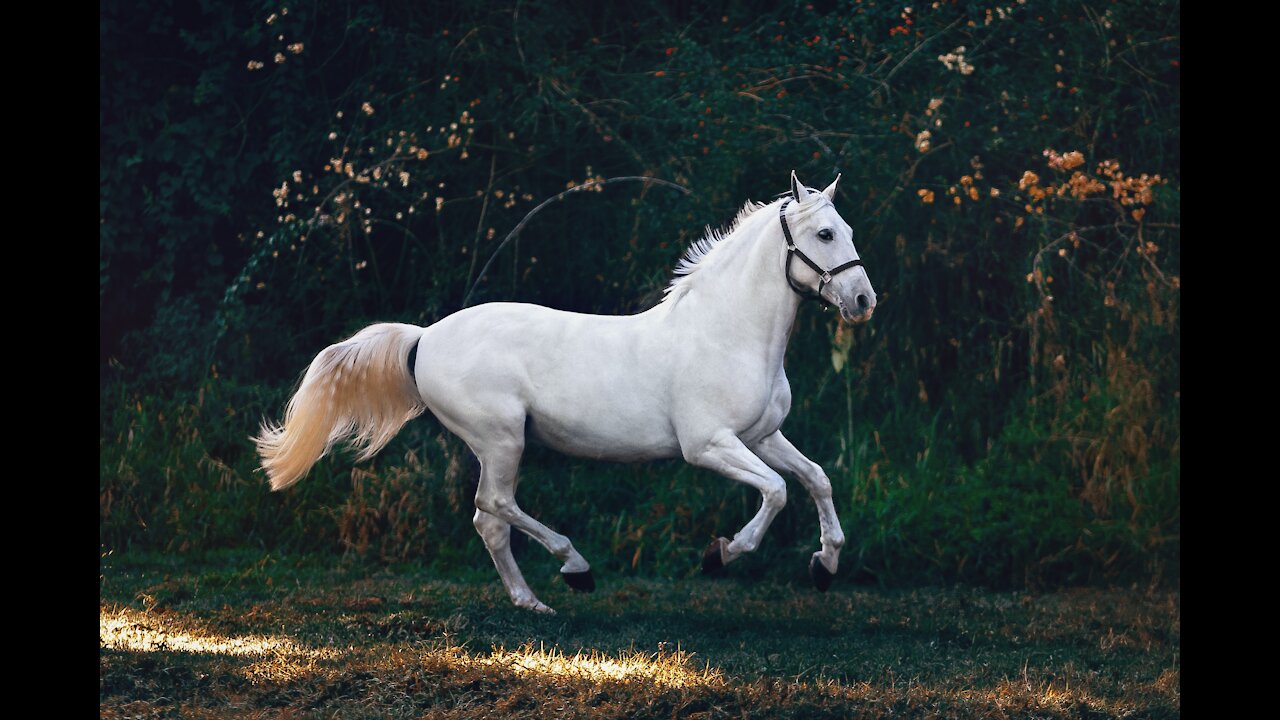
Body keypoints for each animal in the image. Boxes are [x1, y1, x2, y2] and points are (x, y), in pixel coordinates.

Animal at [259, 169, 880, 609]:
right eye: (825, 233)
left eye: (850, 232)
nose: (862, 301)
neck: (726, 333)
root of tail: (424, 337)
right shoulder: (709, 445)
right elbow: (775, 491)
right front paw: (721, 555)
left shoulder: (763, 435)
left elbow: (816, 479)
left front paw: (824, 566)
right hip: (501, 439)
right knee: (494, 506)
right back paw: (574, 568)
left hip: (500, 445)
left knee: (490, 520)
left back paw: (532, 602)